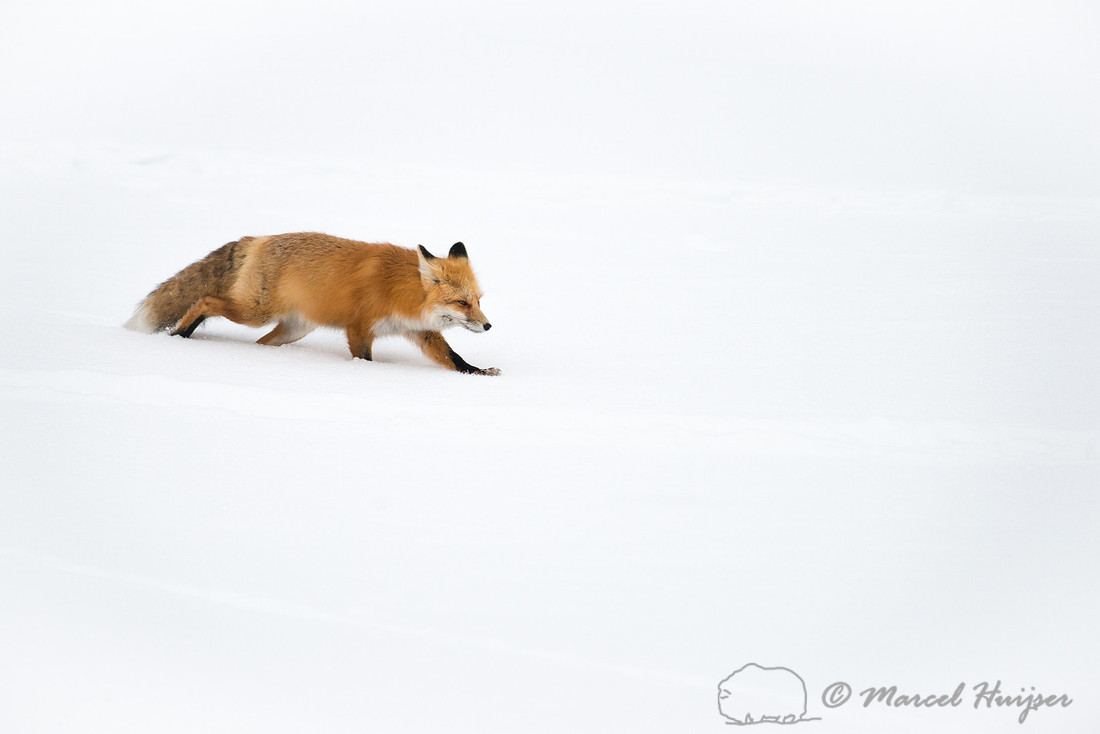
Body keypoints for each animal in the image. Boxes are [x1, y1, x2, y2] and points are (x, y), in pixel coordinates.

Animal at [125, 232, 500, 375]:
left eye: (478, 301)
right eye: (462, 302)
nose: (488, 325)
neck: (404, 293)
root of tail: (257, 238)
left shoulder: (421, 332)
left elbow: (454, 358)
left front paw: (479, 373)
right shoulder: (359, 328)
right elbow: (364, 359)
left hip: (292, 330)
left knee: (260, 343)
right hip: (254, 312)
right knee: (205, 300)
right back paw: (180, 335)